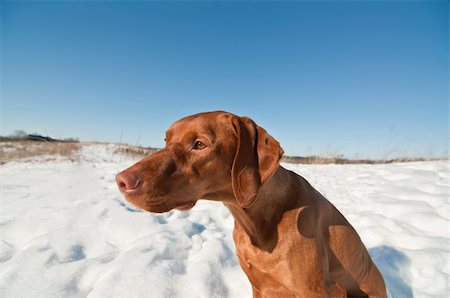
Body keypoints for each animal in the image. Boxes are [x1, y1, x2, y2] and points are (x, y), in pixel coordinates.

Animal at [116, 112, 386, 298]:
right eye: (166, 140)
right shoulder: (259, 287)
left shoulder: (315, 291)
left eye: (199, 144)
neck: (259, 222)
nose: (121, 180)